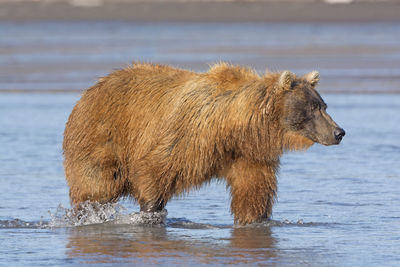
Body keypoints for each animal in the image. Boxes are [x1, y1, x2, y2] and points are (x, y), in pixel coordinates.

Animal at [62, 62, 344, 226]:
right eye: (313, 108)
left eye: (323, 105)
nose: (339, 132)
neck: (232, 127)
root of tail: (87, 92)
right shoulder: (189, 136)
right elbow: (155, 170)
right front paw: (151, 213)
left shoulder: (248, 156)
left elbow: (253, 192)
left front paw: (257, 220)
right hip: (101, 139)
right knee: (95, 187)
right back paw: (86, 214)